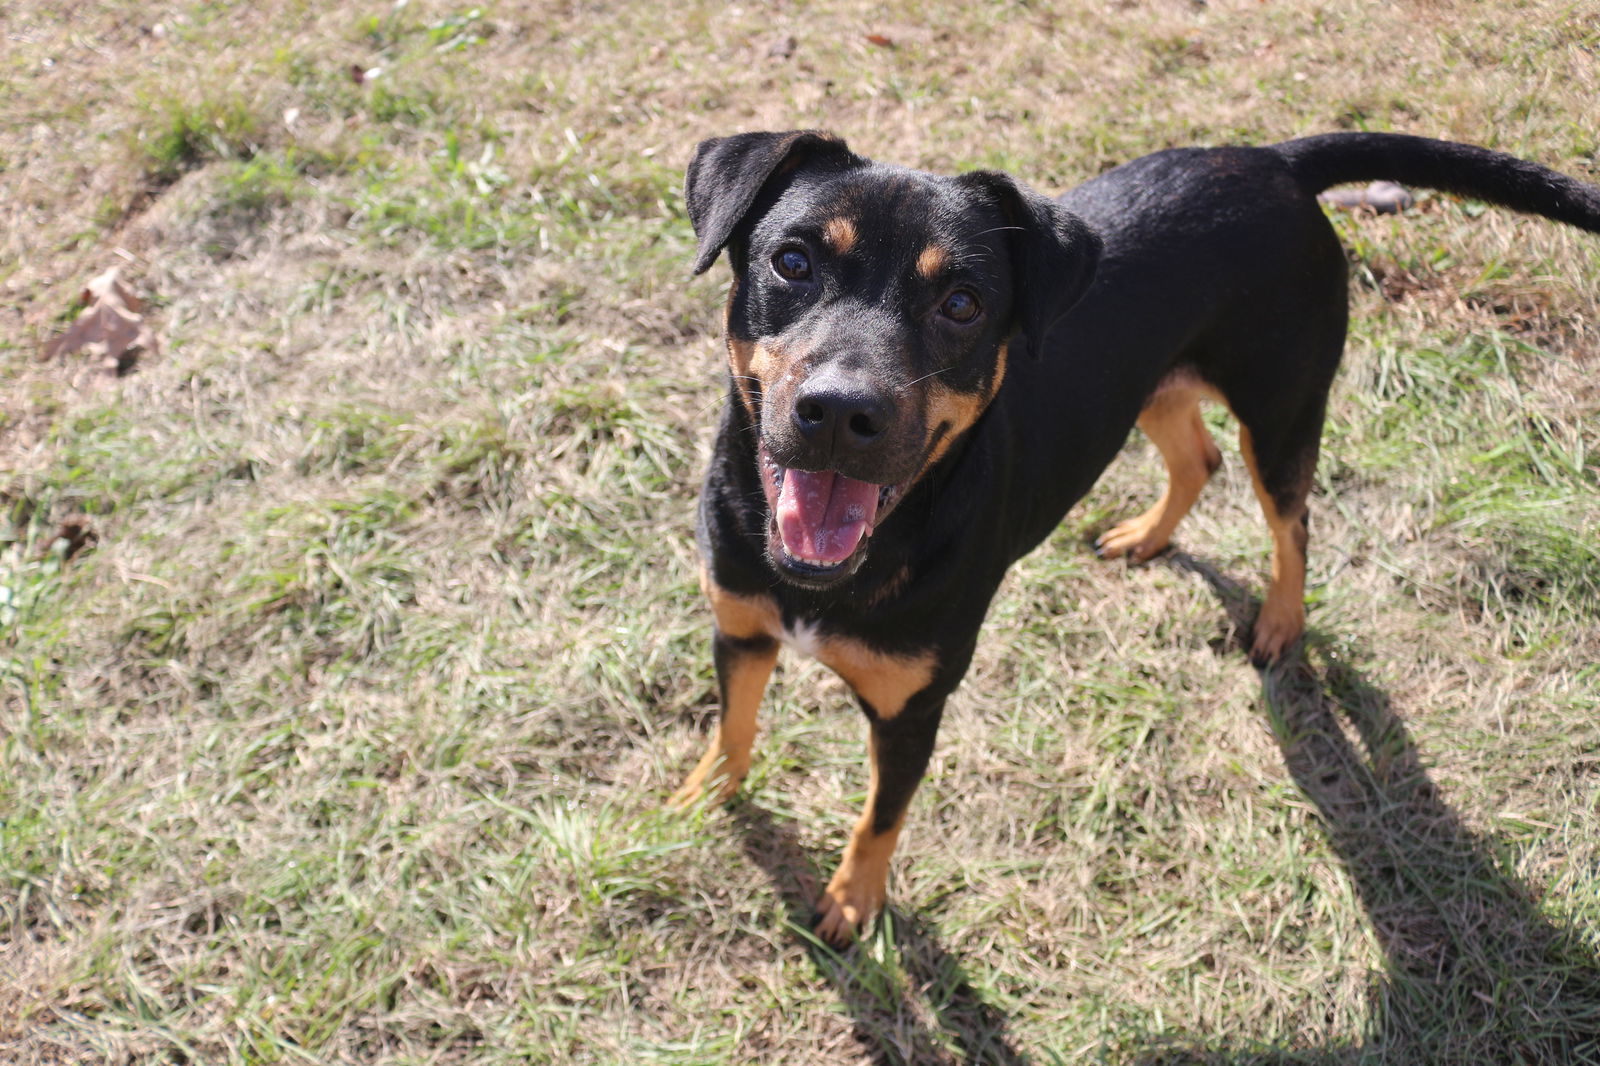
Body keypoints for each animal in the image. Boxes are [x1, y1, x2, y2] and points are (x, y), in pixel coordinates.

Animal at [665, 130, 1600, 941]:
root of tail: (1275, 160)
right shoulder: (739, 628)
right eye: (792, 261)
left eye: (962, 304)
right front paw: (701, 798)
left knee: (1290, 520)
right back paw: (1148, 537)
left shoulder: (913, 709)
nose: (838, 412)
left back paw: (1278, 622)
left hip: (1283, 407)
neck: (834, 569)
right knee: (1199, 457)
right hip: (1153, 387)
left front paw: (852, 903)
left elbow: (880, 817)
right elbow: (734, 727)